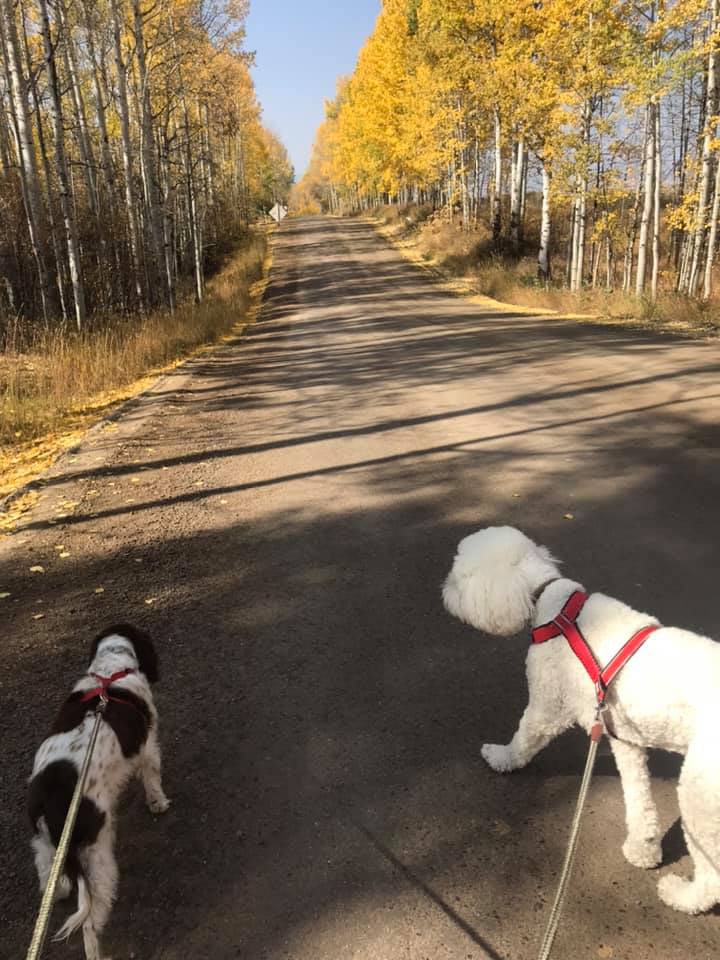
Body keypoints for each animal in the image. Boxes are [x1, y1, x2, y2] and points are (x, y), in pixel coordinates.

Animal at [442, 524, 720, 916]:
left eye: (457, 577)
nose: (443, 593)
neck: (554, 608)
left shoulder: (548, 703)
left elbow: (525, 737)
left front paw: (500, 756)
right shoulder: (622, 733)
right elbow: (638, 795)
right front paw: (643, 848)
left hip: (700, 798)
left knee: (711, 876)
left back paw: (681, 896)